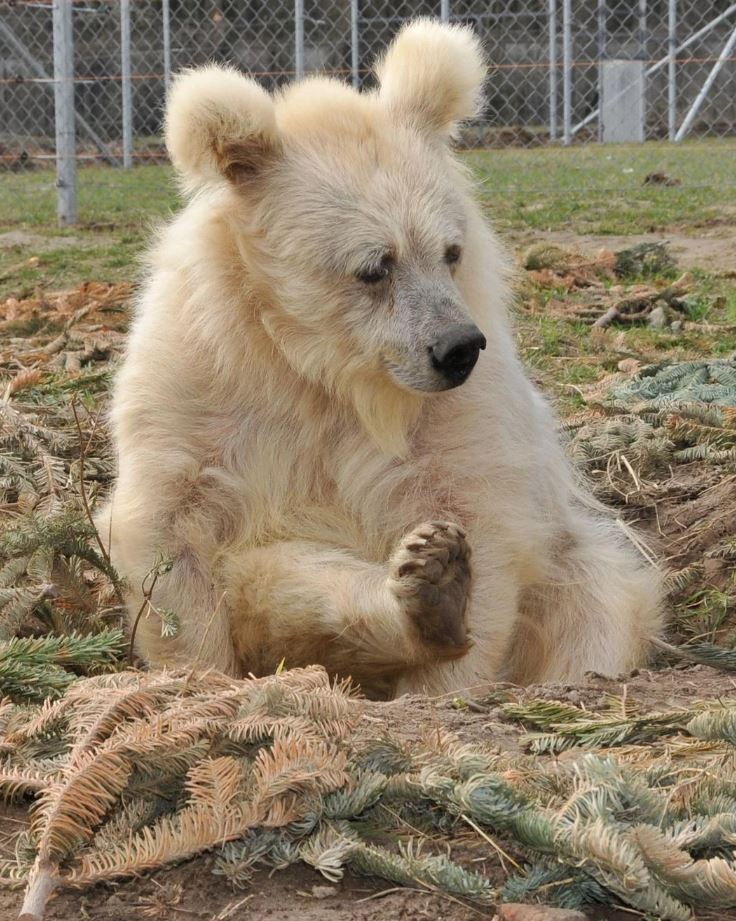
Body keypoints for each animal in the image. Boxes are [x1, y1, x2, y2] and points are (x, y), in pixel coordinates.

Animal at [99, 19, 668, 696]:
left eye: (450, 250)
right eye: (375, 265)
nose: (457, 348)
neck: (321, 368)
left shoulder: (461, 412)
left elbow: (478, 510)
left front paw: (446, 661)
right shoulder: (202, 378)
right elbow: (172, 526)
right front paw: (201, 677)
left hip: (572, 566)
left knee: (596, 601)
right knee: (276, 571)